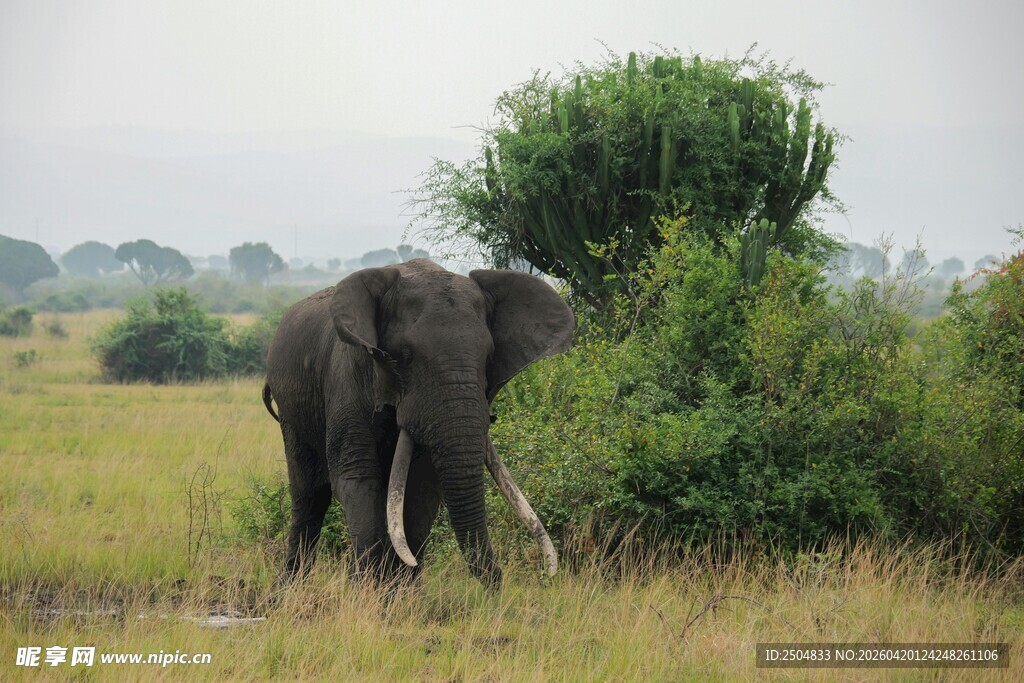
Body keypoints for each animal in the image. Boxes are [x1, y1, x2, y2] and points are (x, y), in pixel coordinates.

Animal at [262, 259, 574, 587]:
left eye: (489, 357)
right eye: (405, 356)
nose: (497, 585)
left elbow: (421, 487)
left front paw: (397, 592)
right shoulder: (346, 377)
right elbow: (357, 476)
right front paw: (366, 591)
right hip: (291, 410)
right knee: (310, 494)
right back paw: (288, 589)